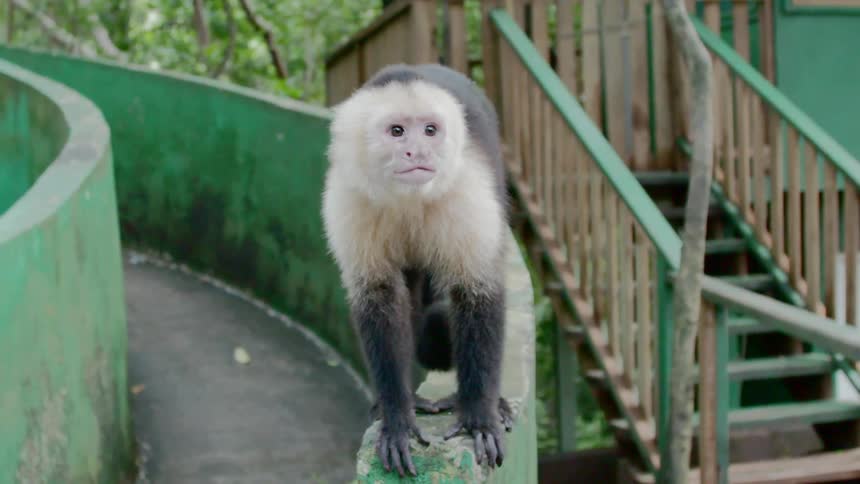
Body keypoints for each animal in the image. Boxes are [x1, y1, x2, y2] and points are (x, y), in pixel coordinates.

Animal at [321, 63, 512, 477]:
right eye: (396, 131)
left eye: (429, 130)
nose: (418, 151)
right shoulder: (348, 198)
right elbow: (379, 299)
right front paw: (397, 418)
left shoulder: (467, 190)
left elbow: (477, 291)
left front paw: (479, 415)